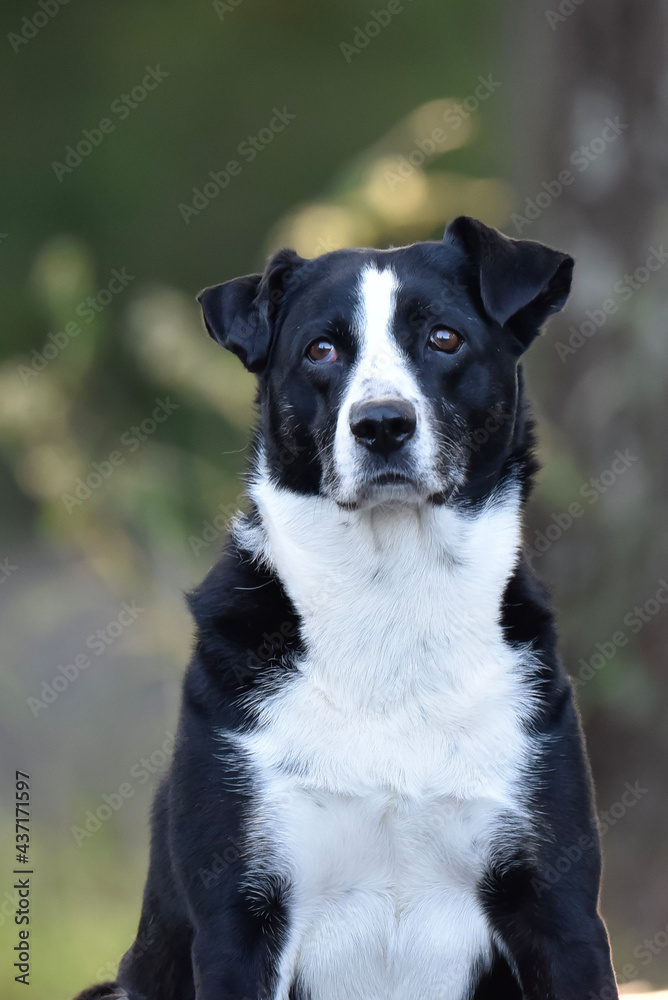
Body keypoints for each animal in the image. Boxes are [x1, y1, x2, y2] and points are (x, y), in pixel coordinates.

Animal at [75, 217, 620, 1000]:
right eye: (320, 350)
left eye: (445, 338)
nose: (381, 424)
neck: (392, 598)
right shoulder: (241, 917)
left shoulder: (558, 906)